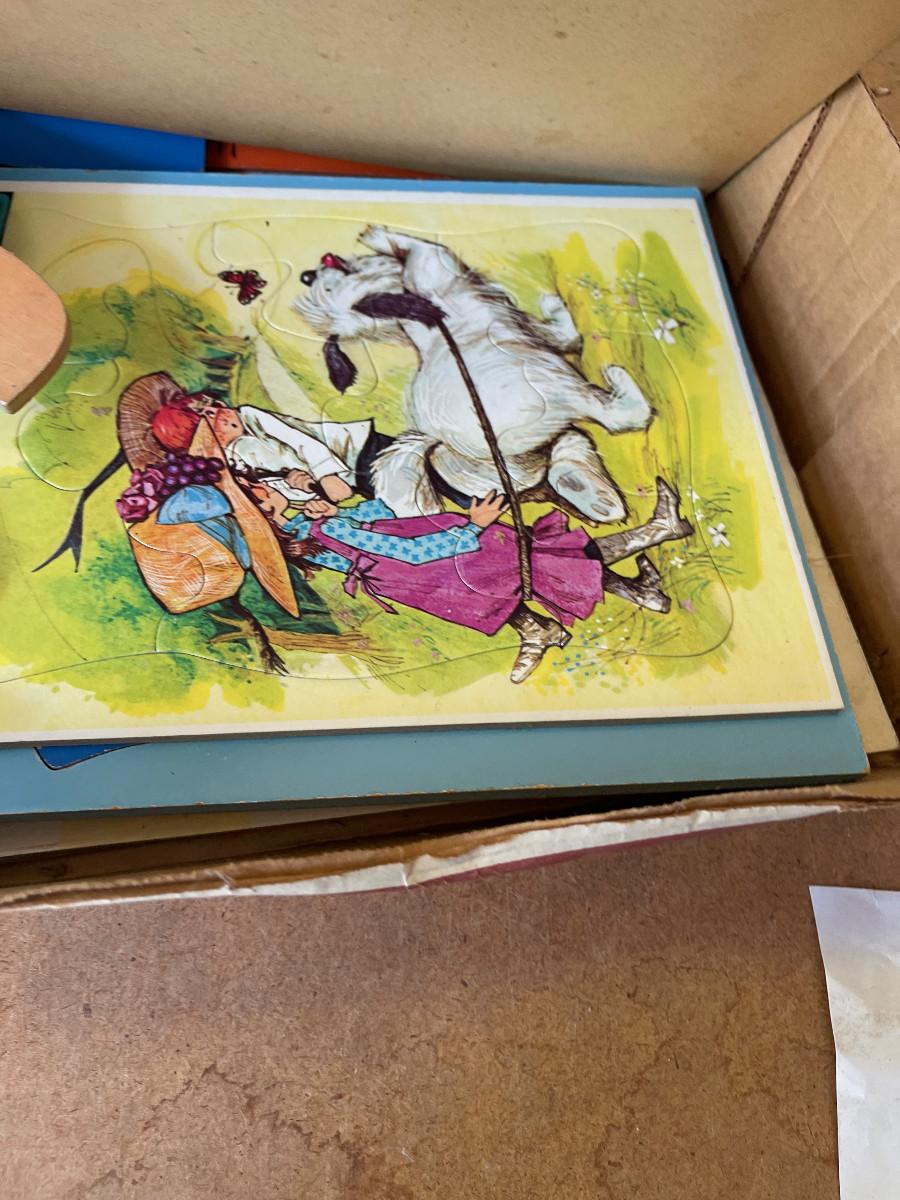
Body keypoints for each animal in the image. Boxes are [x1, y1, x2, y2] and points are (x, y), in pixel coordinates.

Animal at [292, 225, 653, 522]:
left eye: (324, 287)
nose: (308, 272)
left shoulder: (524, 325)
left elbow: (560, 334)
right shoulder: (433, 262)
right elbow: (413, 245)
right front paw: (376, 234)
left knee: (571, 451)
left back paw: (596, 498)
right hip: (555, 385)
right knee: (618, 415)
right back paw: (617, 380)